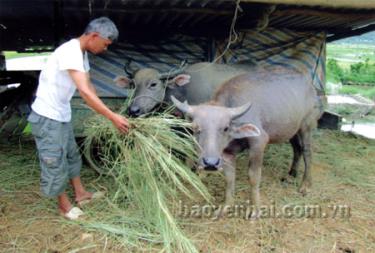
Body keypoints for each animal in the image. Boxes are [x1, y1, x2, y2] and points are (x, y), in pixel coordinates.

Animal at [172, 66, 324, 217]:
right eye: (195, 128)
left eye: (225, 128)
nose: (210, 163)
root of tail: (310, 85)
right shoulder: (226, 153)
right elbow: (229, 177)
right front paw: (226, 206)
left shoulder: (258, 143)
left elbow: (253, 176)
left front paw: (255, 209)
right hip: (291, 130)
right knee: (297, 149)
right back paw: (291, 174)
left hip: (306, 126)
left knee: (307, 152)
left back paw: (305, 185)